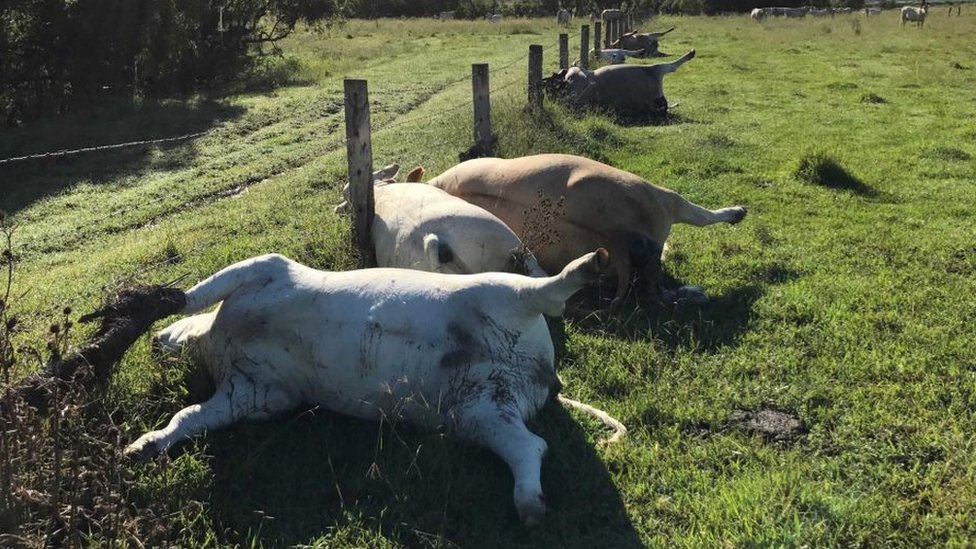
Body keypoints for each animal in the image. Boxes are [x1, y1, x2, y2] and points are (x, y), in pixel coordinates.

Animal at [127, 247, 624, 524]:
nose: (153, 341)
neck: (218, 338)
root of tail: (544, 371)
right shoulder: (257, 396)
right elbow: (188, 416)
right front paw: (141, 448)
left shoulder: (266, 268)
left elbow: (197, 293)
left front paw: (150, 304)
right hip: (481, 411)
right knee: (529, 446)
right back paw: (530, 508)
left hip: (501, 291)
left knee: (547, 294)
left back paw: (591, 264)